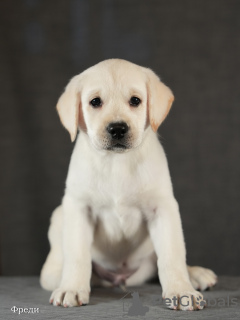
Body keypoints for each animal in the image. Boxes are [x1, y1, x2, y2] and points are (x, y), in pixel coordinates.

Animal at [39, 59, 218, 310]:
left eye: (135, 101)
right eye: (95, 102)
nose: (117, 129)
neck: (117, 162)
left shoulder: (163, 208)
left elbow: (172, 254)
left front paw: (181, 291)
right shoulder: (78, 207)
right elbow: (77, 254)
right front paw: (72, 288)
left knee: (159, 261)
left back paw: (195, 274)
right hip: (59, 219)